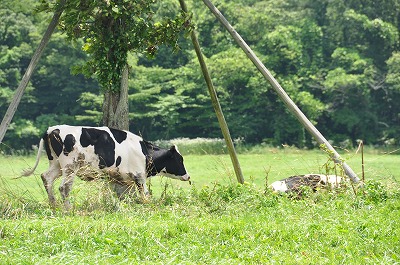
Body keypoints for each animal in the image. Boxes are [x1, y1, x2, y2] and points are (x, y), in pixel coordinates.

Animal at [21, 125, 191, 207]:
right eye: (179, 160)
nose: (188, 176)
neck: (144, 152)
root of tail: (52, 129)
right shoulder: (139, 176)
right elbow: (145, 194)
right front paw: (148, 205)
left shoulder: (118, 178)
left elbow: (121, 195)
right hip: (70, 165)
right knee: (64, 187)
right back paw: (67, 208)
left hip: (56, 164)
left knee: (46, 177)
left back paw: (54, 204)